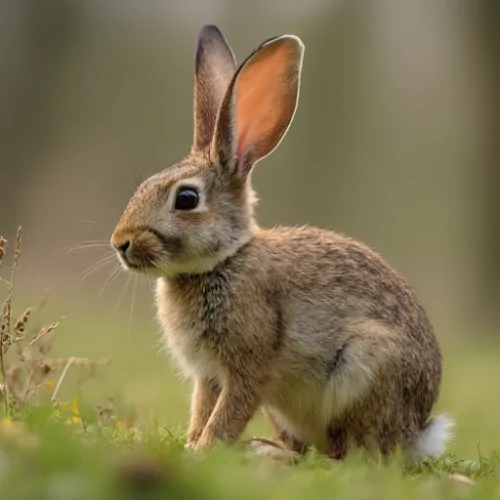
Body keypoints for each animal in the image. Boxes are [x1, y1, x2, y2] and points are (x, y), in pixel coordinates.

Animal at [112, 24, 454, 460]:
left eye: (186, 198)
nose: (120, 242)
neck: (224, 260)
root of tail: (417, 434)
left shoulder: (249, 365)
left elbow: (227, 413)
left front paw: (201, 450)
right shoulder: (208, 376)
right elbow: (203, 408)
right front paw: (191, 443)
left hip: (364, 369)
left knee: (350, 456)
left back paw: (271, 454)